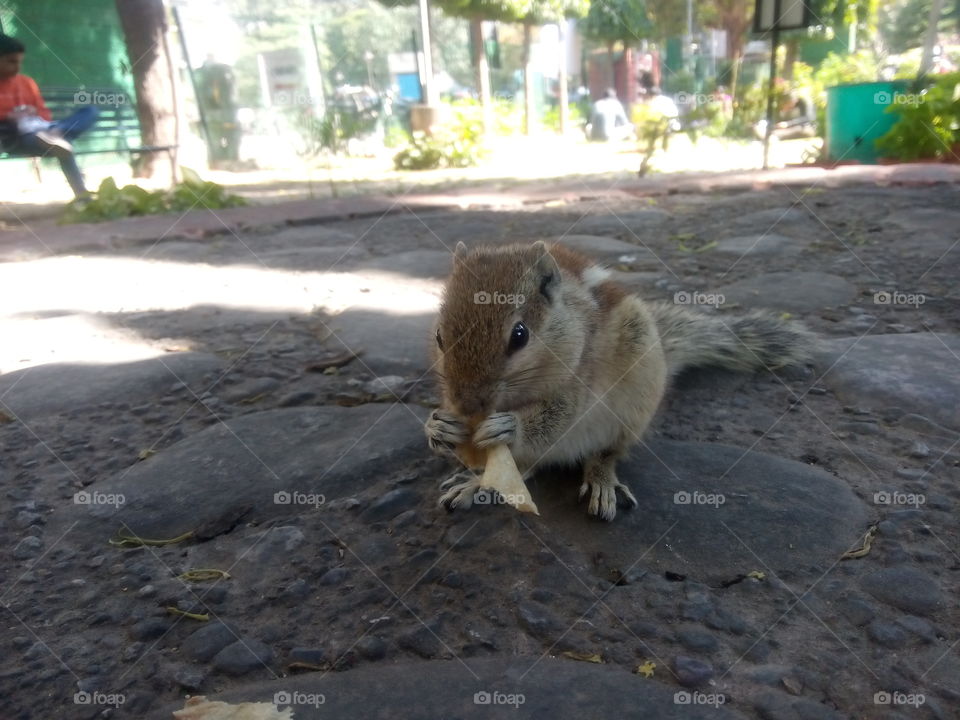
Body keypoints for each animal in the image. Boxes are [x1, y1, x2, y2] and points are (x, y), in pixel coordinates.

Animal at [425, 240, 815, 521]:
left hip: (633, 407)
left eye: (520, 335)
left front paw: (508, 428)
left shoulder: (576, 387)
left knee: (606, 452)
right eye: (440, 336)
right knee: (527, 467)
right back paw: (475, 484)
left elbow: (556, 419)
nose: (467, 405)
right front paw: (439, 427)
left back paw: (601, 481)